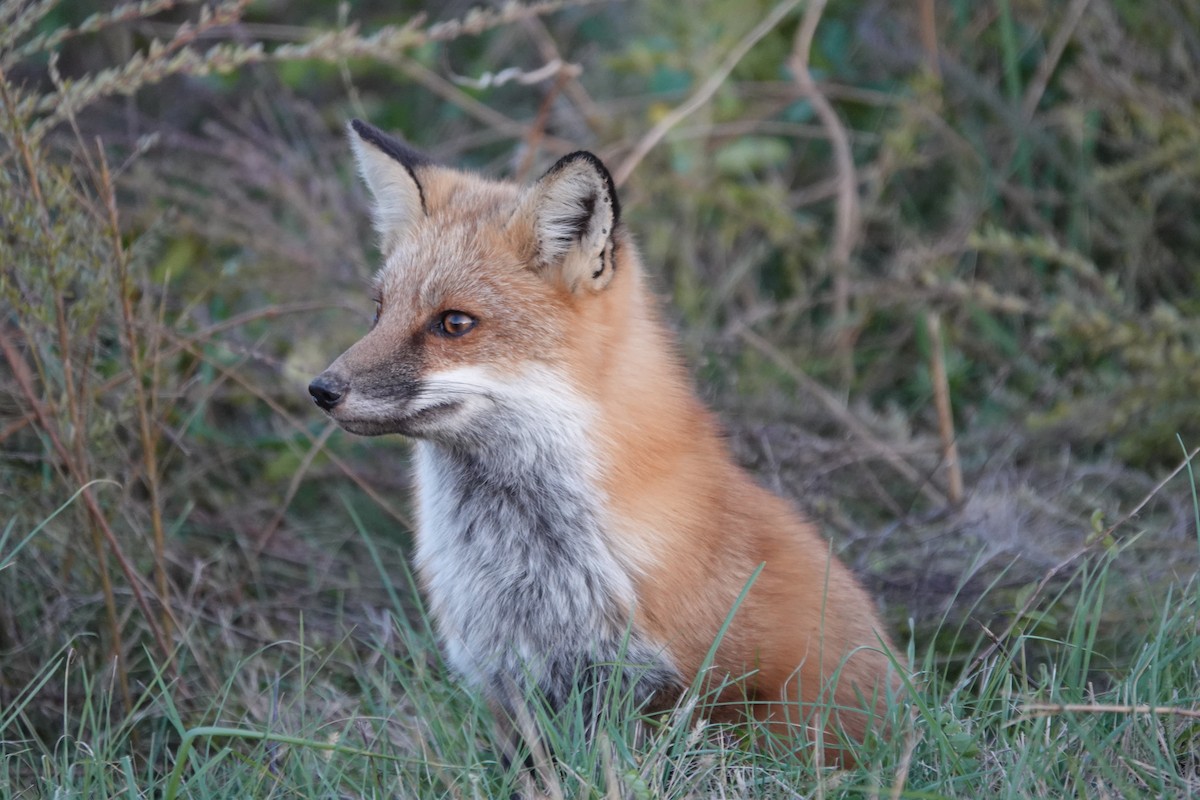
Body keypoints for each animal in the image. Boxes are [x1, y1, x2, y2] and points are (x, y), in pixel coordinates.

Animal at [309, 119, 899, 762]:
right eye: (379, 311)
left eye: (454, 323)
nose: (321, 389)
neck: (525, 568)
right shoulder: (511, 687)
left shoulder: (693, 692)